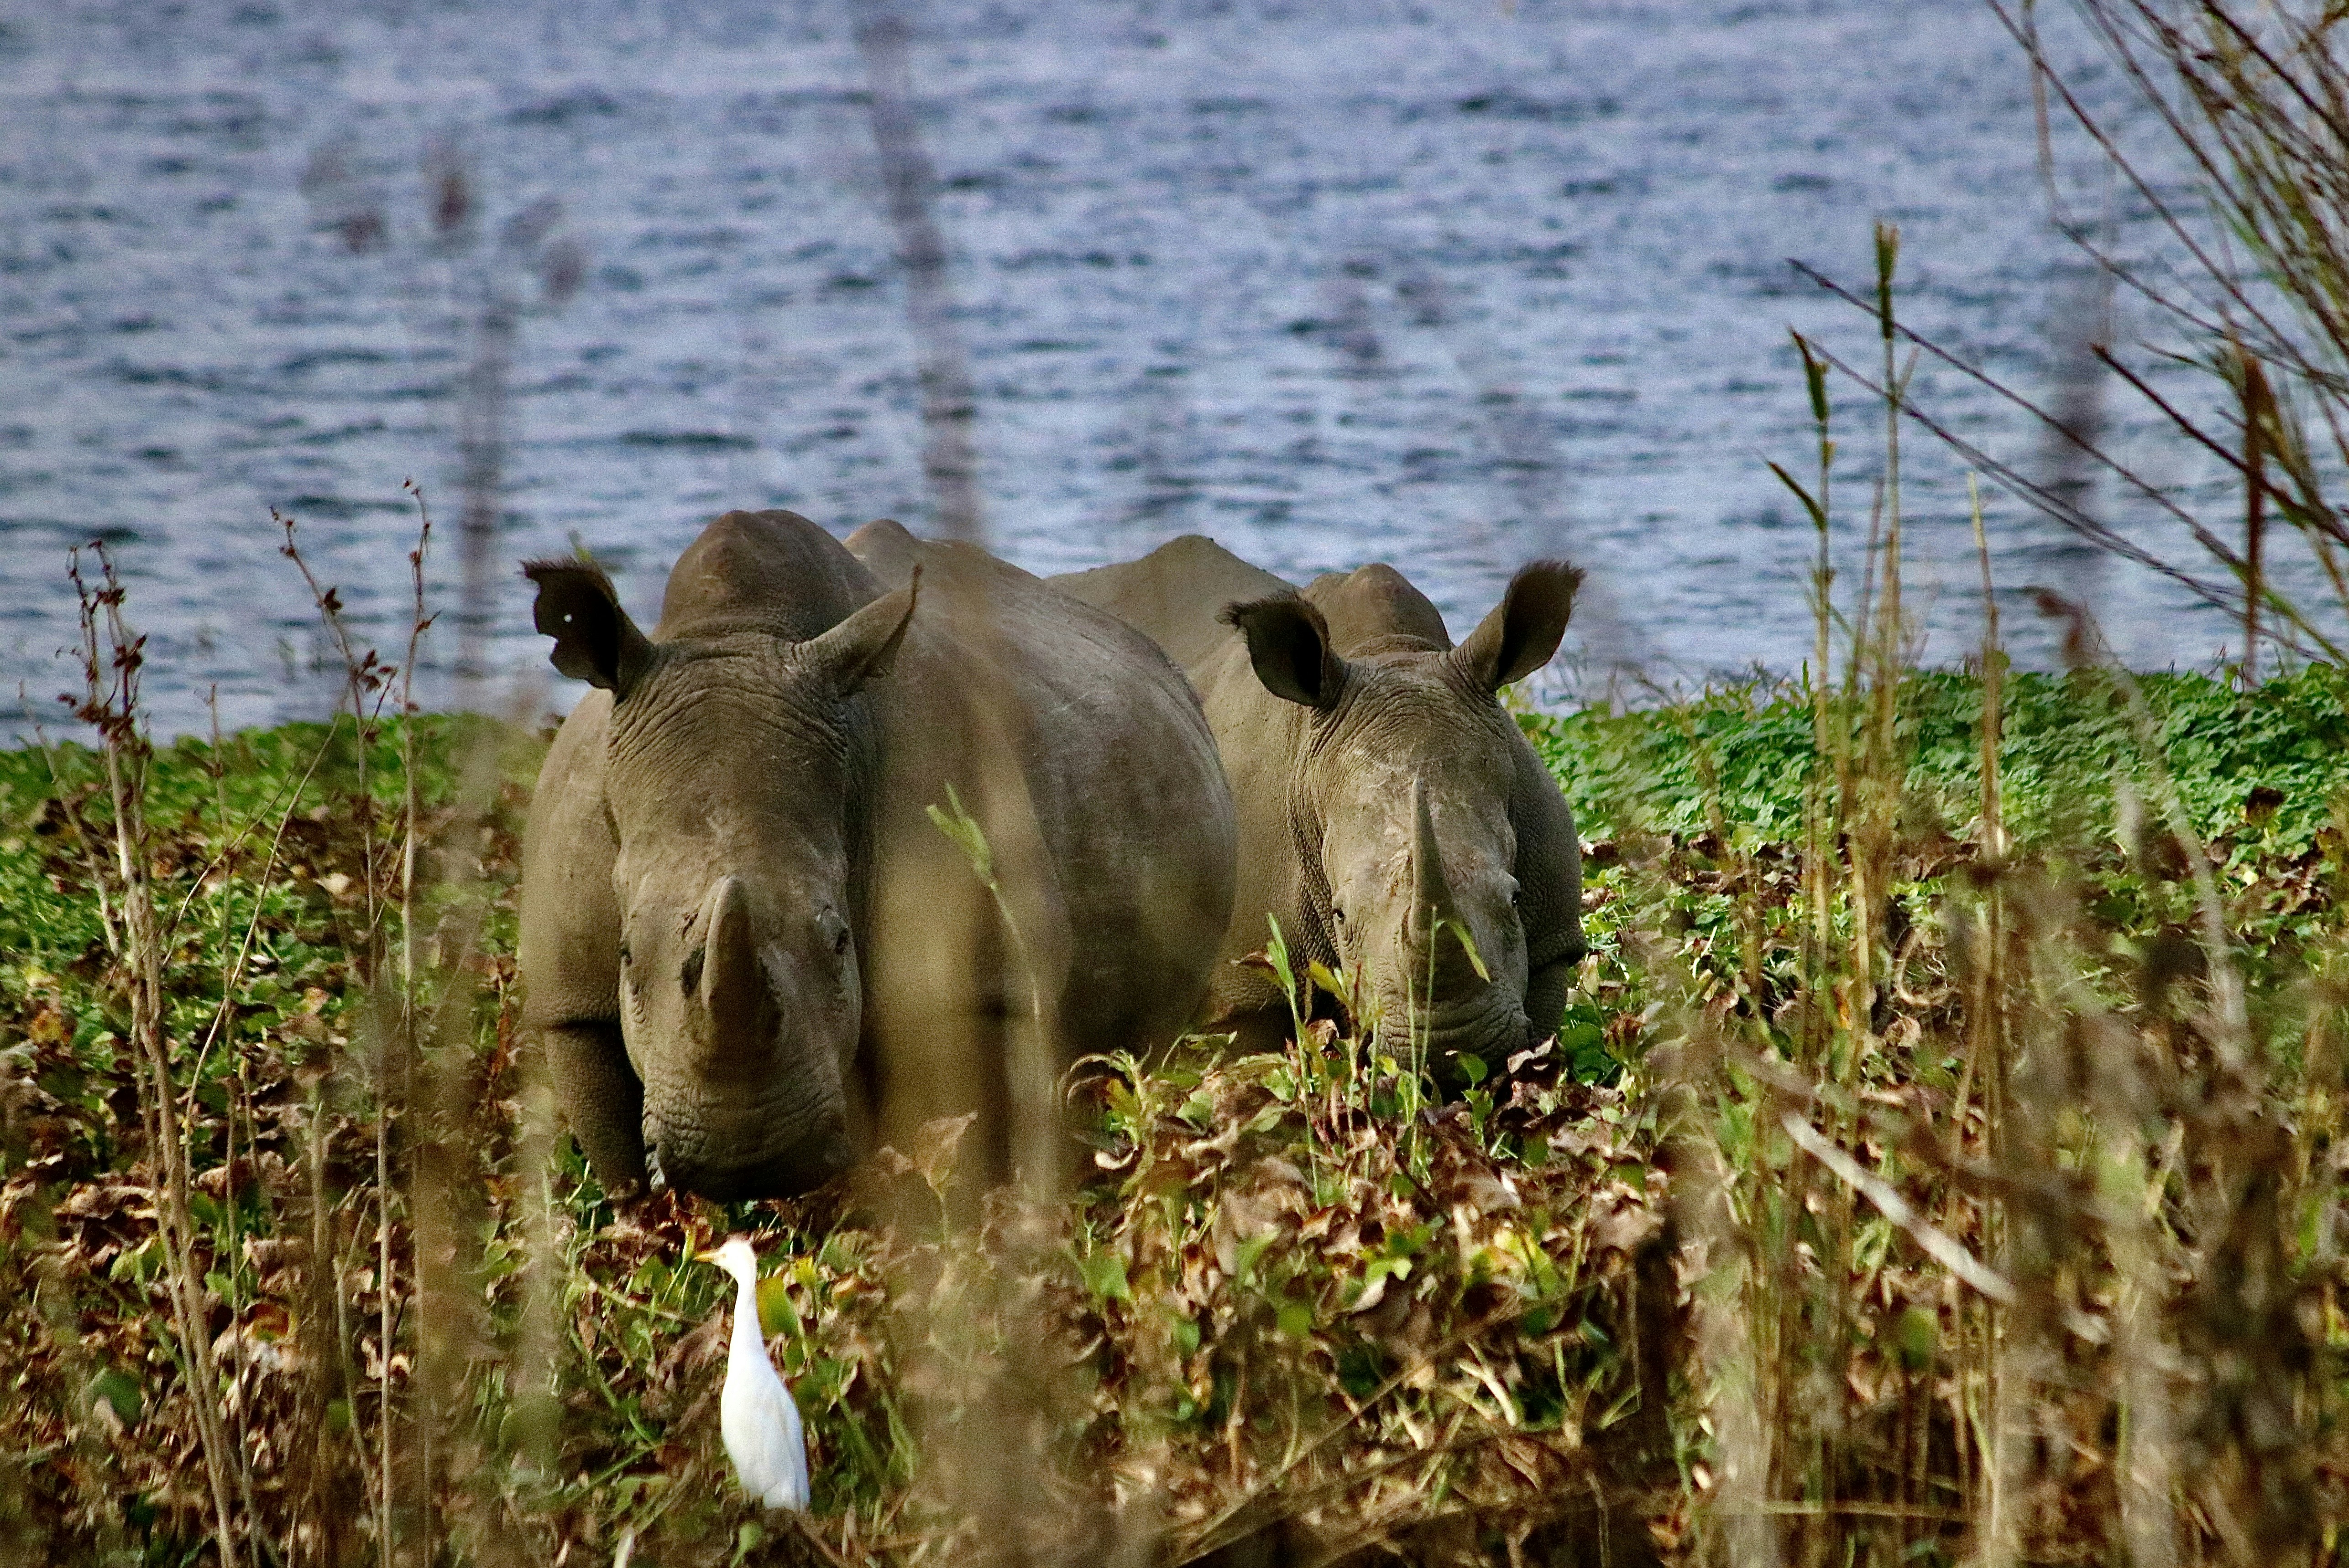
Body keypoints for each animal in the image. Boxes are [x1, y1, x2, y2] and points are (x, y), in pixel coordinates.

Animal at [517, 510, 1236, 1201]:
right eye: (626, 954)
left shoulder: (972, 979)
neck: (740, 630)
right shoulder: (572, 999)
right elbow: (616, 1155)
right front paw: (647, 1225)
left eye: (839, 942)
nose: (747, 1163)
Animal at [1052, 536, 1585, 1067]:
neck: (1388, 653)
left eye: (1515, 897)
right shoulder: (1242, 982)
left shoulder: (1550, 941)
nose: (1450, 1047)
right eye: (1340, 914)